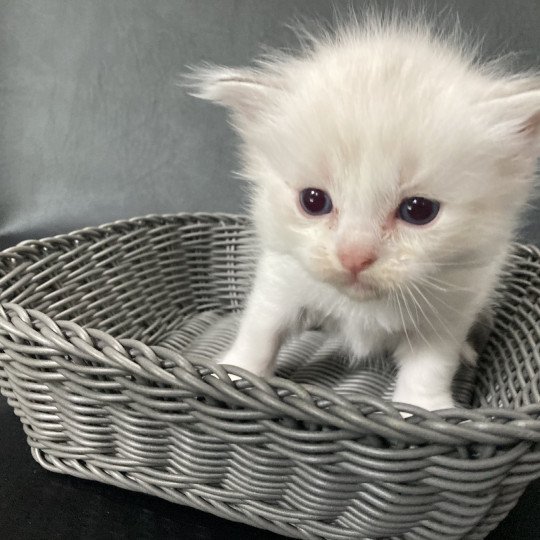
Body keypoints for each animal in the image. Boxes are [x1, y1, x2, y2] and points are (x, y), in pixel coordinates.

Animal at [187, 17, 540, 414]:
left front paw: (423, 407)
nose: (354, 257)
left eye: (418, 210)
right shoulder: (281, 276)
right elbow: (261, 329)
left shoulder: (450, 307)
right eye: (313, 201)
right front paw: (235, 373)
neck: (363, 307)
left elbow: (431, 364)